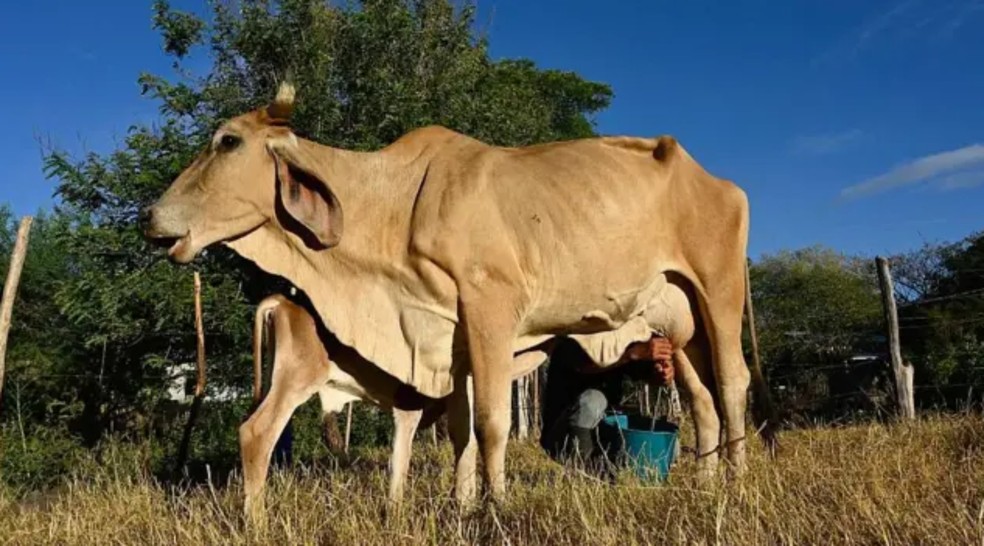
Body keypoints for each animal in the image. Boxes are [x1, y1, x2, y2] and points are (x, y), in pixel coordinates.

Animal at [144, 82, 776, 504]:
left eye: (228, 141)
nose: (152, 217)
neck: (398, 206)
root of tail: (720, 183)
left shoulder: (490, 309)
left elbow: (492, 422)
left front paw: (496, 508)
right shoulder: (454, 338)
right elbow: (459, 429)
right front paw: (463, 506)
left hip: (718, 291)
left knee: (732, 383)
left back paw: (738, 487)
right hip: (679, 323)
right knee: (701, 403)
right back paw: (705, 485)